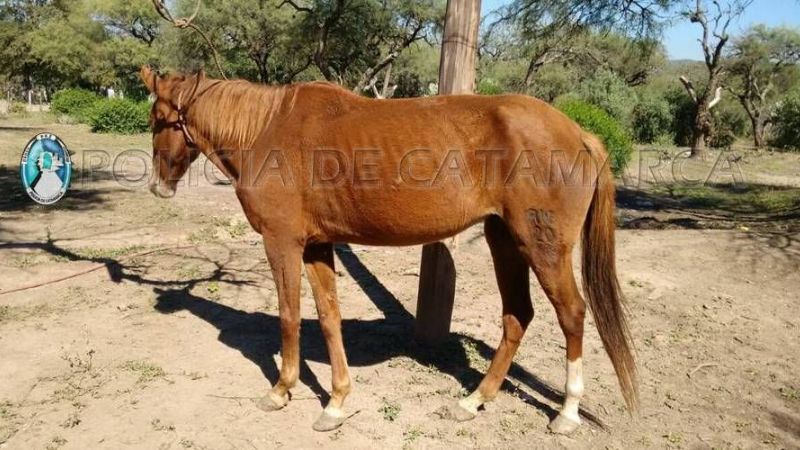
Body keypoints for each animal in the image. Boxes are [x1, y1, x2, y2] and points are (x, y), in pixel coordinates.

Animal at [139, 65, 637, 434]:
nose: (158, 186)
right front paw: (336, 403)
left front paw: (281, 391)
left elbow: (288, 316)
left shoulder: (282, 242)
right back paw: (474, 400)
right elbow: (329, 317)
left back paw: (567, 413)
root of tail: (580, 133)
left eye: (157, 119)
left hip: (542, 246)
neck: (266, 127)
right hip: (505, 240)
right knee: (518, 316)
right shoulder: (317, 245)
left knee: (571, 313)